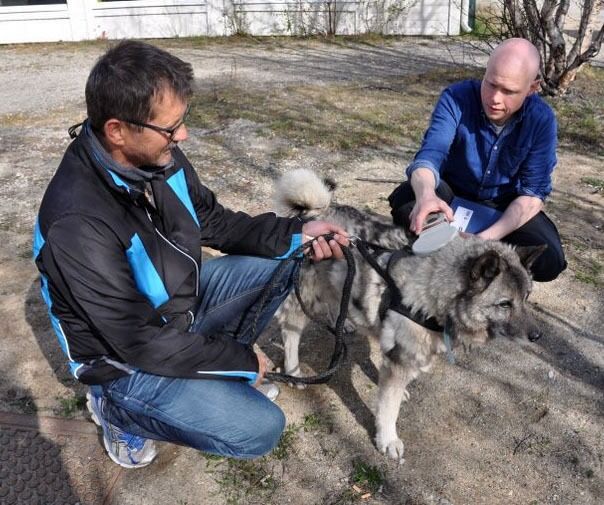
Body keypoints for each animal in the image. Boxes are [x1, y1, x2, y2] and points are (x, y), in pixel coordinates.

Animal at [272, 167, 544, 462]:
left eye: (526, 297)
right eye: (505, 304)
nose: (537, 336)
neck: (438, 286)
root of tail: (315, 213)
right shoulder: (400, 359)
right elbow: (388, 408)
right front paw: (387, 439)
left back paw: (343, 325)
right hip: (303, 299)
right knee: (290, 333)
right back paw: (295, 371)